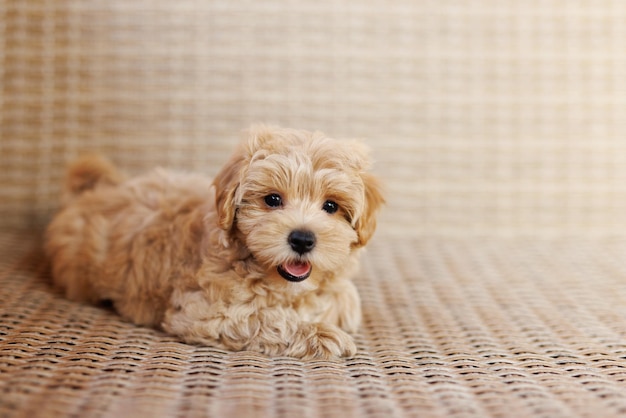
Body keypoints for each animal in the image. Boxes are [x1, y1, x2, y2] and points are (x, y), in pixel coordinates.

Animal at [44, 125, 382, 358]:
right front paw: (323, 334)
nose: (302, 239)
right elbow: (265, 318)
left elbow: (344, 296)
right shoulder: (203, 312)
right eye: (272, 200)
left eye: (330, 206)